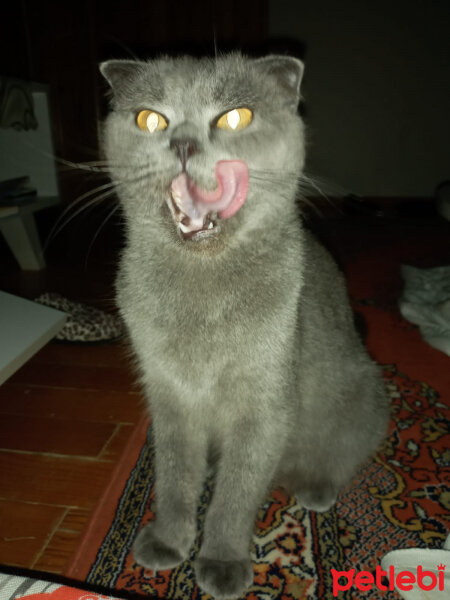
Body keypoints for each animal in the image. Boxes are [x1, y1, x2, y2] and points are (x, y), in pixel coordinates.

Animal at [100, 54, 388, 596]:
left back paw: (315, 488)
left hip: (361, 394)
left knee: (339, 452)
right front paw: (168, 543)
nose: (183, 144)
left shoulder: (264, 407)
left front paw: (221, 562)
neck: (201, 293)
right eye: (151, 119)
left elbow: (236, 493)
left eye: (236, 118)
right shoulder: (168, 399)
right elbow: (174, 478)